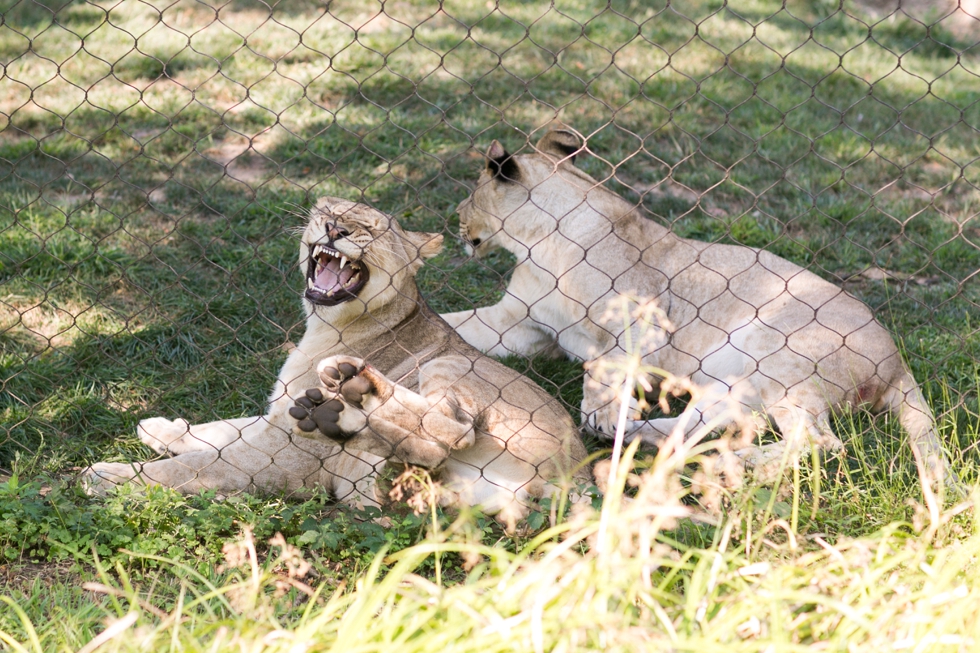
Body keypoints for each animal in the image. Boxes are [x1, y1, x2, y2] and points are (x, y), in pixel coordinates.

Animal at [88, 195, 584, 524]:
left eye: (374, 229)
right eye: (327, 213)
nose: (335, 231)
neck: (323, 326)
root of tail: (574, 476)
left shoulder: (283, 457)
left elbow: (196, 466)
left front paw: (109, 475)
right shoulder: (275, 420)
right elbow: (219, 430)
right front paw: (160, 428)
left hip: (450, 367)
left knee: (452, 432)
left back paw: (352, 396)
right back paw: (345, 417)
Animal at [442, 127, 956, 486]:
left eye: (470, 193)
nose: (455, 219)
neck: (539, 247)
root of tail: (897, 360)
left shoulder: (645, 323)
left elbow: (603, 367)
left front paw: (601, 411)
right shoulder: (518, 324)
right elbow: (455, 326)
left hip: (776, 352)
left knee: (820, 443)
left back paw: (735, 461)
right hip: (730, 379)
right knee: (713, 426)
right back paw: (644, 435)